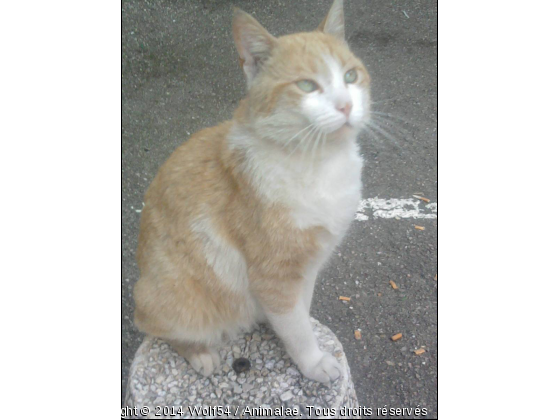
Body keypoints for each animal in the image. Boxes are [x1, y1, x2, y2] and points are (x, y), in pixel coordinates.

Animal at [135, 0, 372, 384]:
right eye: (306, 85)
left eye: (350, 77)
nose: (346, 106)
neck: (318, 162)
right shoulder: (274, 275)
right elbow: (297, 328)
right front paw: (312, 362)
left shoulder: (307, 266)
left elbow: (300, 313)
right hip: (178, 298)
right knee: (155, 326)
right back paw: (200, 353)